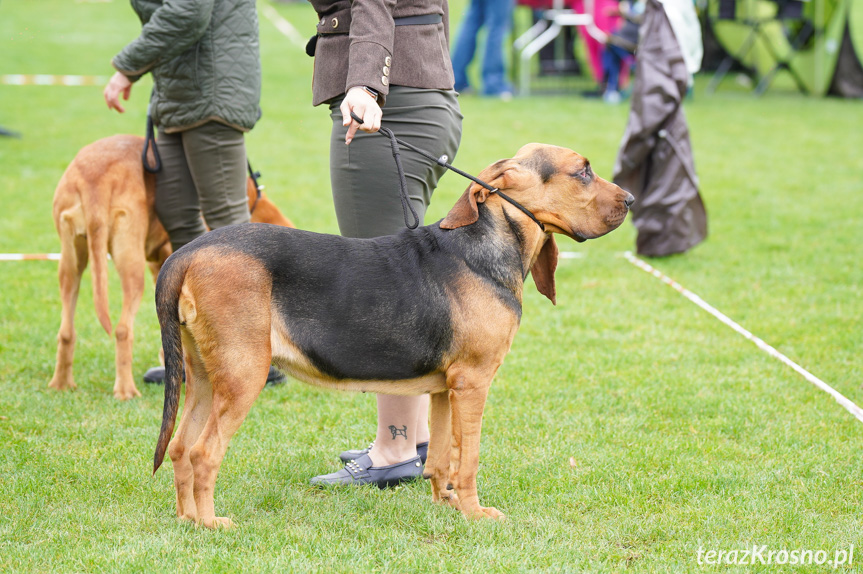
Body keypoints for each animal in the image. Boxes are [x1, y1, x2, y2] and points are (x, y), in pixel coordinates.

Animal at [49, 137, 294, 402]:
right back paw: (126, 390)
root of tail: (95, 177)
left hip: (70, 264)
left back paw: (61, 384)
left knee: (66, 331)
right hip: (131, 267)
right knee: (123, 330)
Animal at [154, 143, 636, 528]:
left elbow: (440, 459)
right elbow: (469, 460)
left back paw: (186, 519)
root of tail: (188, 252)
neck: (486, 244)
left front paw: (446, 506)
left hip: (203, 376)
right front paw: (476, 513)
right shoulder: (473, 383)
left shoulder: (444, 389)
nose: (631, 199)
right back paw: (211, 524)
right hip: (243, 376)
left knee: (179, 447)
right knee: (203, 453)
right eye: (583, 171)